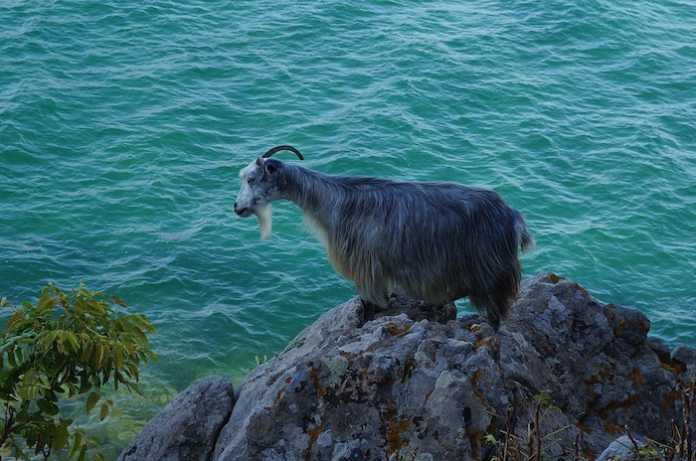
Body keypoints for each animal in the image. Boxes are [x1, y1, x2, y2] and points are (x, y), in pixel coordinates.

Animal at [234, 145, 533, 328]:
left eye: (251, 179)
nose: (237, 207)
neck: (333, 201)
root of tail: (514, 217)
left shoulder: (366, 267)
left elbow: (369, 301)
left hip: (490, 271)